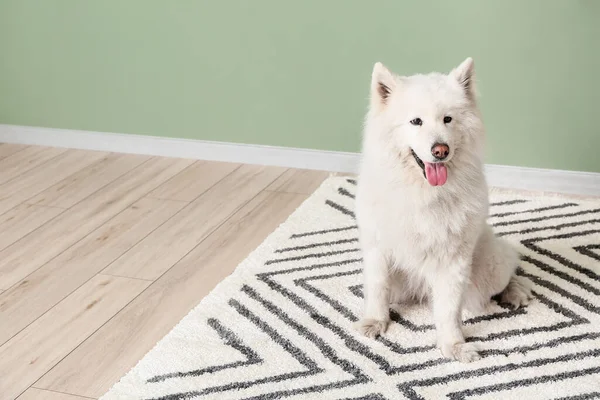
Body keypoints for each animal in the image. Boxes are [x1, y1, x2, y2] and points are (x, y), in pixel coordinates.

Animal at [354, 58, 532, 362]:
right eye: (416, 121)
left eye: (448, 119)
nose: (440, 150)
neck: (423, 194)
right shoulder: (378, 248)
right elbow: (377, 288)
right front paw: (375, 323)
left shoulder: (453, 260)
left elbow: (449, 310)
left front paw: (454, 346)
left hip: (491, 267)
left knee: (509, 273)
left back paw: (516, 292)